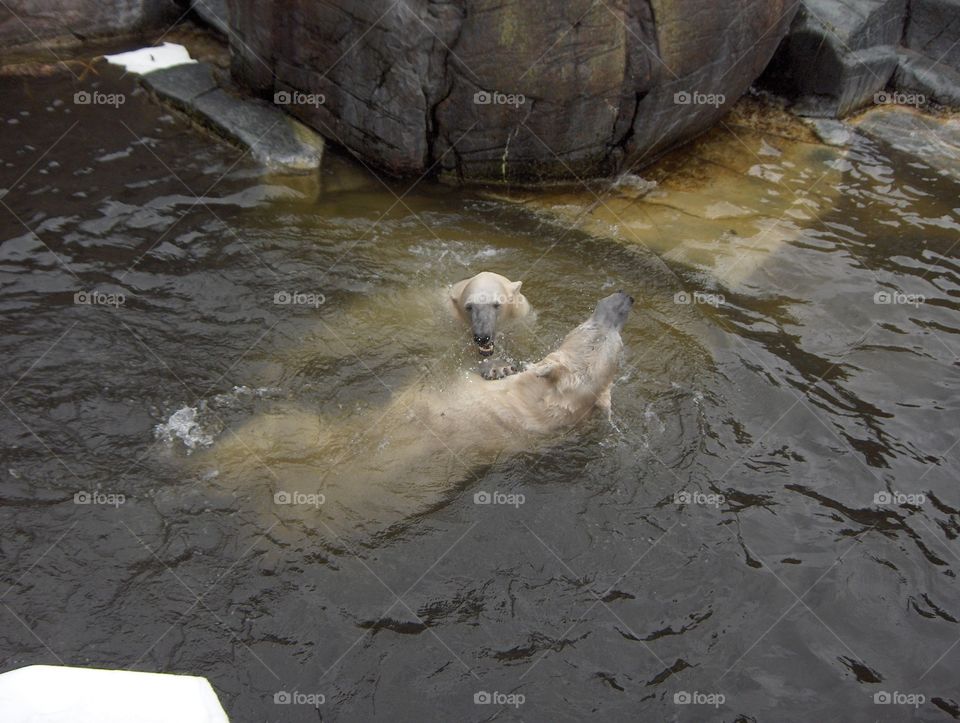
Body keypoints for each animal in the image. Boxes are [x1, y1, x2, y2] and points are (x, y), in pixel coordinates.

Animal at [201, 291, 632, 539]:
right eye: (594, 327)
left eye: (606, 336)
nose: (622, 300)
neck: (530, 404)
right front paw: (500, 366)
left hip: (297, 444)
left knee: (264, 432)